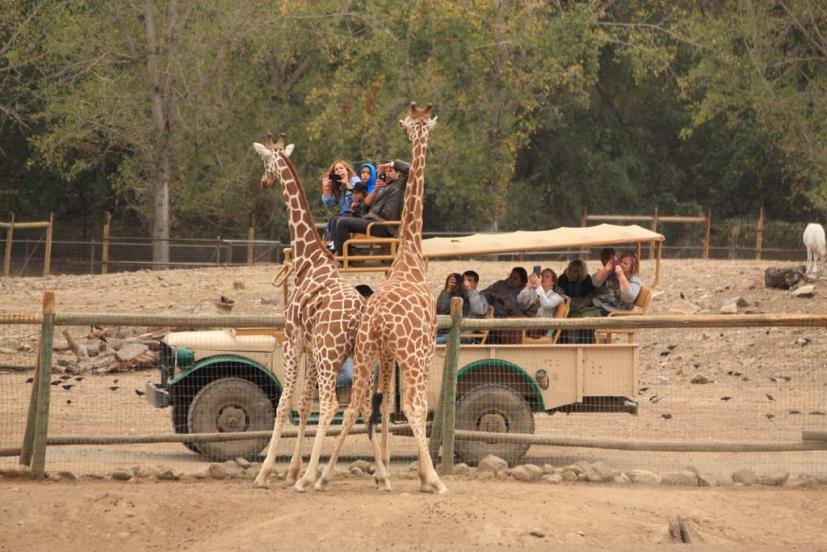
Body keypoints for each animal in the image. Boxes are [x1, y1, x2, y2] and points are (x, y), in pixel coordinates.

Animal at [316, 101, 446, 494]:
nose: (419, 128)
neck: (409, 257)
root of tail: (375, 318)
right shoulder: (424, 346)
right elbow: (410, 406)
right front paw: (419, 475)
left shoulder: (387, 354)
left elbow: (386, 401)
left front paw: (382, 467)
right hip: (408, 353)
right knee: (413, 407)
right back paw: (435, 480)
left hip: (365, 351)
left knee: (353, 405)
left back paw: (322, 476)